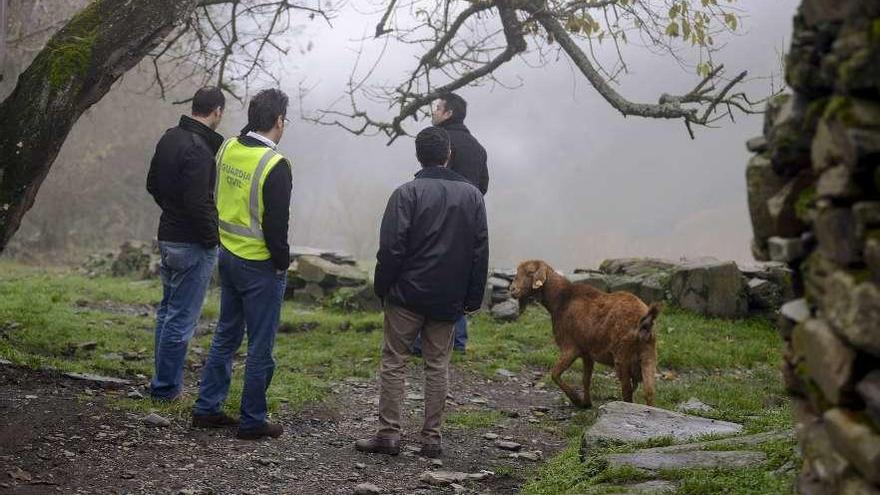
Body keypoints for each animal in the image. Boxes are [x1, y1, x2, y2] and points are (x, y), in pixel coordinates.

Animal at [508, 260, 660, 406]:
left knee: (627, 390)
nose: (512, 289)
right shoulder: (587, 353)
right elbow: (586, 379)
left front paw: (576, 400)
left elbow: (555, 374)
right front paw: (586, 403)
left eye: (530, 272)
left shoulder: (571, 347)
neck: (561, 299)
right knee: (649, 390)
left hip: (622, 356)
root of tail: (645, 321)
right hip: (648, 354)